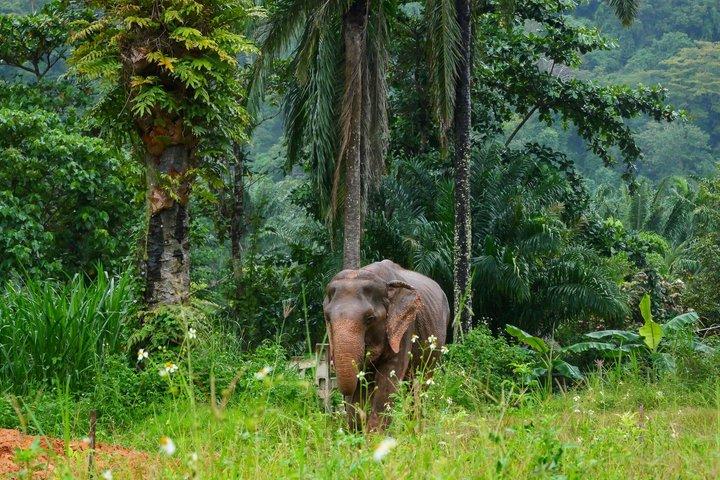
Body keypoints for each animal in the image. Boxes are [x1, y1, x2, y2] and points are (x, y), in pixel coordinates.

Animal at [323, 259, 449, 431]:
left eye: (370, 318)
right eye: (327, 318)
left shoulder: (404, 328)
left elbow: (389, 377)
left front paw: (374, 435)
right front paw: (356, 432)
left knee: (420, 383)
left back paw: (415, 428)